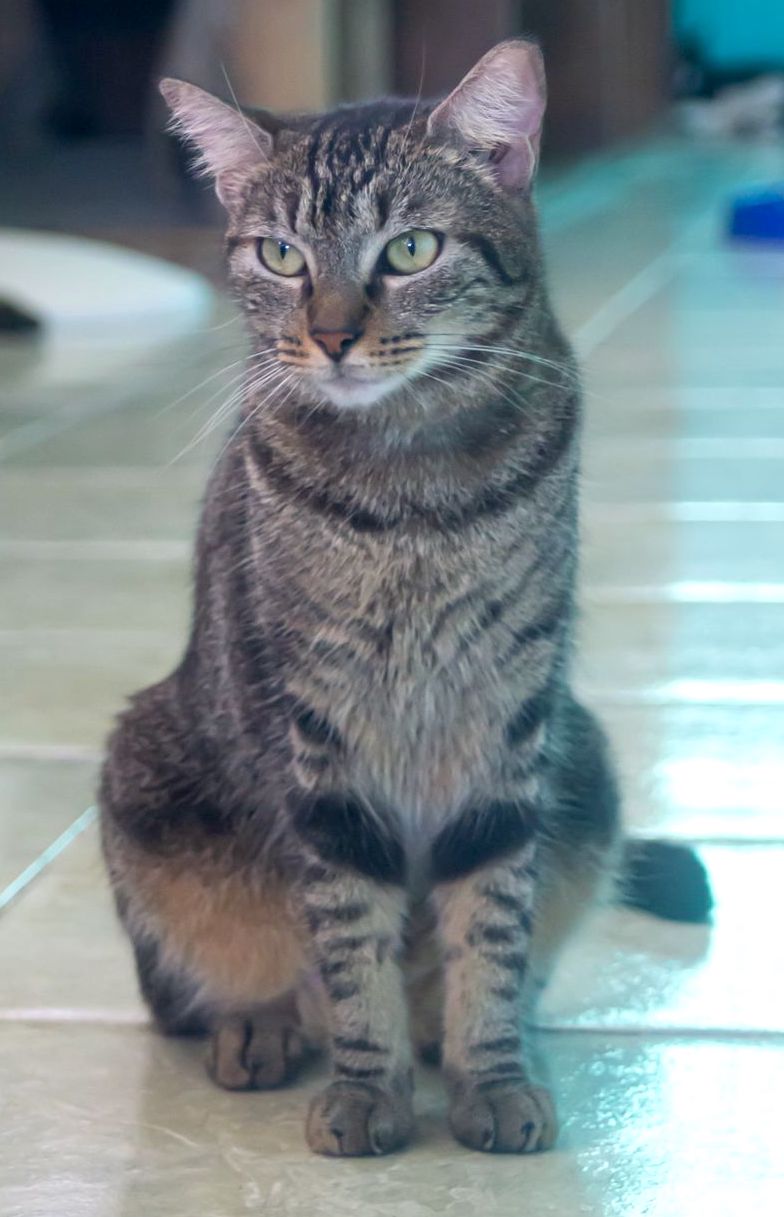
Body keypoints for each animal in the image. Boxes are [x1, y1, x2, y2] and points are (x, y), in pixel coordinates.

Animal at [97, 38, 710, 1153]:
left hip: (587, 757)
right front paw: (365, 1090)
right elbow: (348, 937)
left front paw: (490, 1073)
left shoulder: (510, 719)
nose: (333, 334)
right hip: (145, 777)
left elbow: (492, 924)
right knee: (216, 990)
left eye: (411, 249)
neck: (413, 491)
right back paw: (261, 1027)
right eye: (281, 257)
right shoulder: (317, 735)